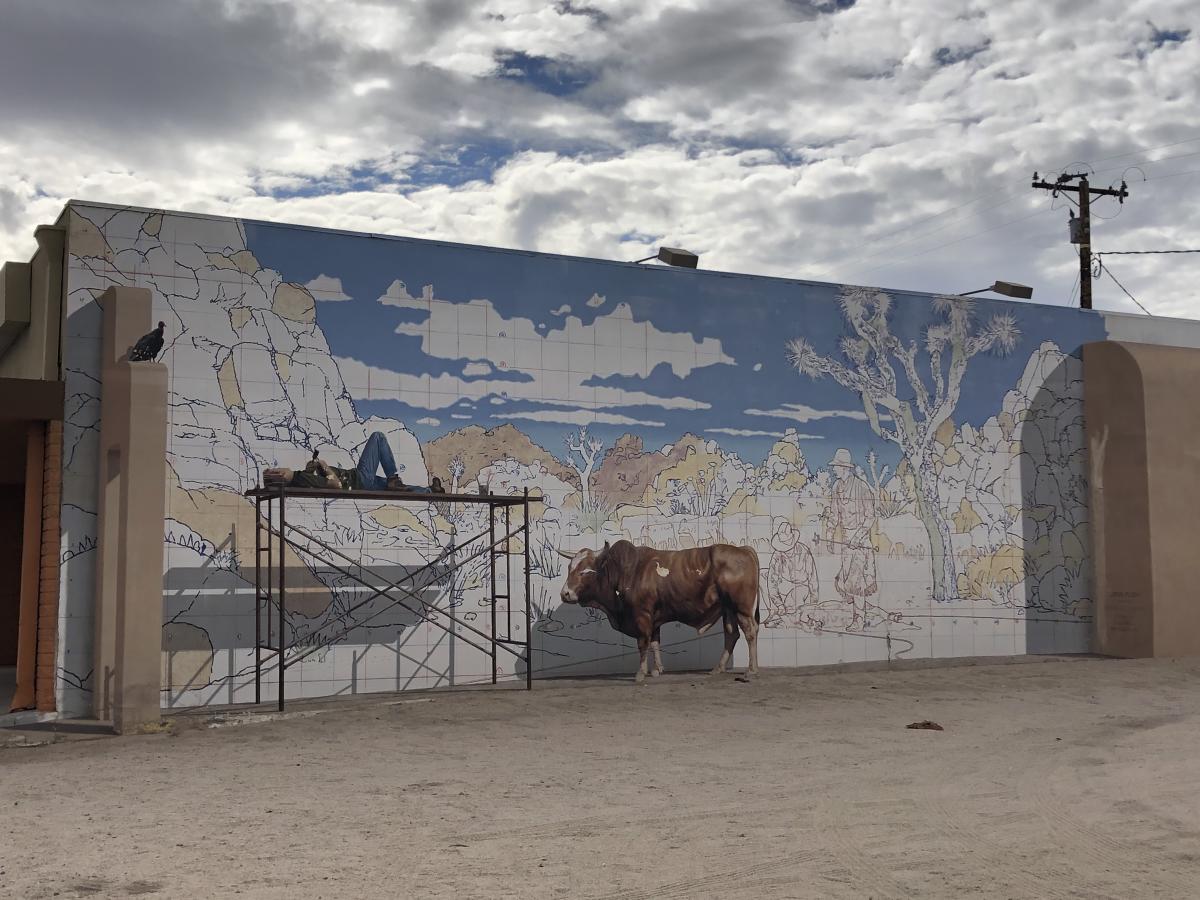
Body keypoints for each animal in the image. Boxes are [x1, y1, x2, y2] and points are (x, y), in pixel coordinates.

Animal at [554, 542, 758, 681]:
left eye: (585, 571)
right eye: (569, 568)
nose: (565, 593)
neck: (625, 572)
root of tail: (744, 549)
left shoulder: (642, 615)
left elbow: (643, 643)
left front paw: (640, 673)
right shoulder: (654, 619)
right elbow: (655, 642)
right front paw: (657, 669)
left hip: (742, 609)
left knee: (750, 632)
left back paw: (751, 669)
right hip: (728, 609)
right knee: (731, 634)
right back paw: (718, 668)